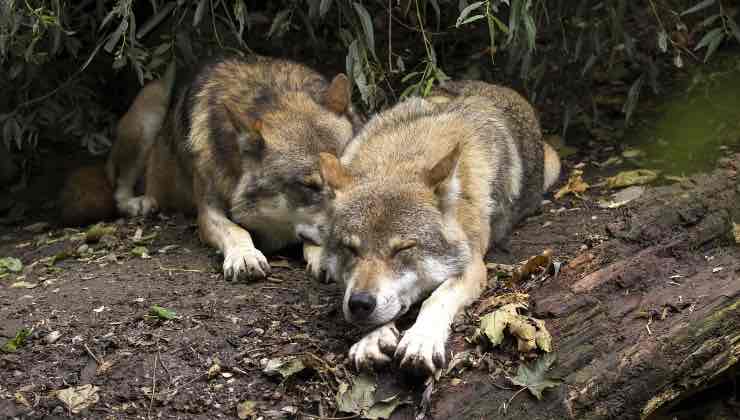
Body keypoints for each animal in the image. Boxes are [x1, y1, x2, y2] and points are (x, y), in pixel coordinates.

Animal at [60, 55, 358, 278]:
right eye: (309, 186)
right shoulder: (207, 212)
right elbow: (236, 230)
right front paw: (245, 256)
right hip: (150, 111)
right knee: (119, 189)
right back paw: (140, 203)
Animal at [314, 80, 560, 376]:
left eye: (403, 249)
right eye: (350, 248)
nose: (360, 303)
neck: (402, 157)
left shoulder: (472, 265)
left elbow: (437, 298)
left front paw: (421, 340)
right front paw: (371, 339)